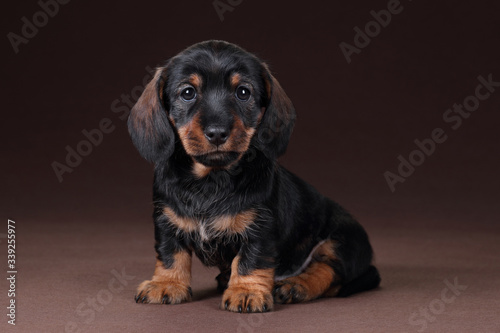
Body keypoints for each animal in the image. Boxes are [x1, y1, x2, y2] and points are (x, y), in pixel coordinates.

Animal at [128, 39, 378, 312]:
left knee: (327, 271)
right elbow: (171, 255)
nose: (217, 133)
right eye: (187, 92)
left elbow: (251, 260)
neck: (211, 180)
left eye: (243, 92)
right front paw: (167, 284)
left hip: (342, 241)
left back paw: (296, 285)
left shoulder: (261, 228)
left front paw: (246, 291)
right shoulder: (167, 222)